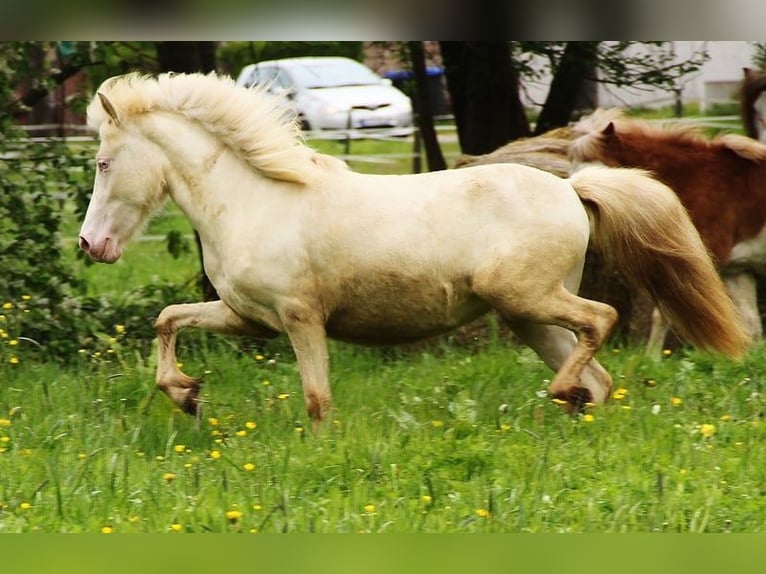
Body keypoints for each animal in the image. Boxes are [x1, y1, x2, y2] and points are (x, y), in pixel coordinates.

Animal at [81, 72, 748, 426]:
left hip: (527, 298)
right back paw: (572, 420)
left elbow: (317, 400)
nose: (92, 244)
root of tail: (572, 187)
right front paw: (186, 395)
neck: (256, 199)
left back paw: (560, 395)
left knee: (602, 320)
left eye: (104, 162)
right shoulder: (249, 318)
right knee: (600, 375)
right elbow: (168, 318)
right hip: (527, 317)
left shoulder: (300, 318)